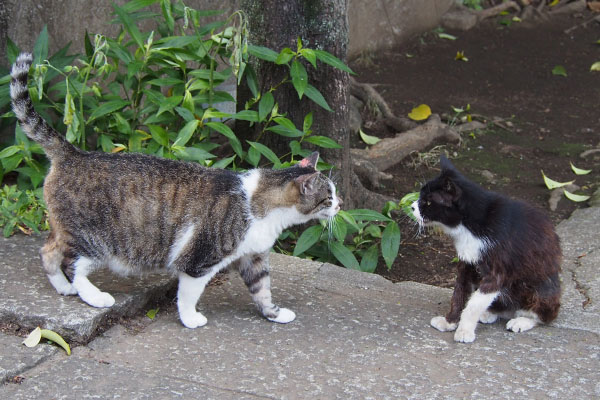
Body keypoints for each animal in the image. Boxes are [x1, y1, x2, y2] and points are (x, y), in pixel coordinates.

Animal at [9, 52, 340, 328]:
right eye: (329, 196)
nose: (340, 206)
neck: (261, 207)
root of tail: (73, 153)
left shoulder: (253, 257)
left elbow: (262, 289)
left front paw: (274, 314)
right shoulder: (198, 260)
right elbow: (189, 293)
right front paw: (191, 319)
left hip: (65, 229)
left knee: (48, 251)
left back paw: (64, 288)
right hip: (95, 240)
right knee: (73, 263)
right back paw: (93, 295)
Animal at [412, 156, 564, 344]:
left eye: (427, 201)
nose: (412, 207)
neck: (470, 225)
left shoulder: (497, 272)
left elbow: (474, 304)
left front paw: (464, 330)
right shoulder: (466, 263)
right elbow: (459, 293)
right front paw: (449, 322)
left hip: (543, 286)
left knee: (545, 314)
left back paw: (522, 320)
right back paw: (490, 313)